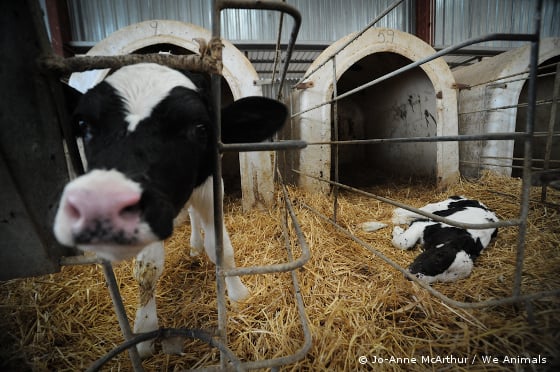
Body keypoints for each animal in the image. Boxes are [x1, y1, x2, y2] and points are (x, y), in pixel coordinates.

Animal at [52, 62, 286, 356]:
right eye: (84, 124)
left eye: (200, 128)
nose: (103, 205)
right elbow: (147, 268)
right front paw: (144, 328)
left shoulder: (211, 186)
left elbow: (221, 248)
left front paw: (238, 295)